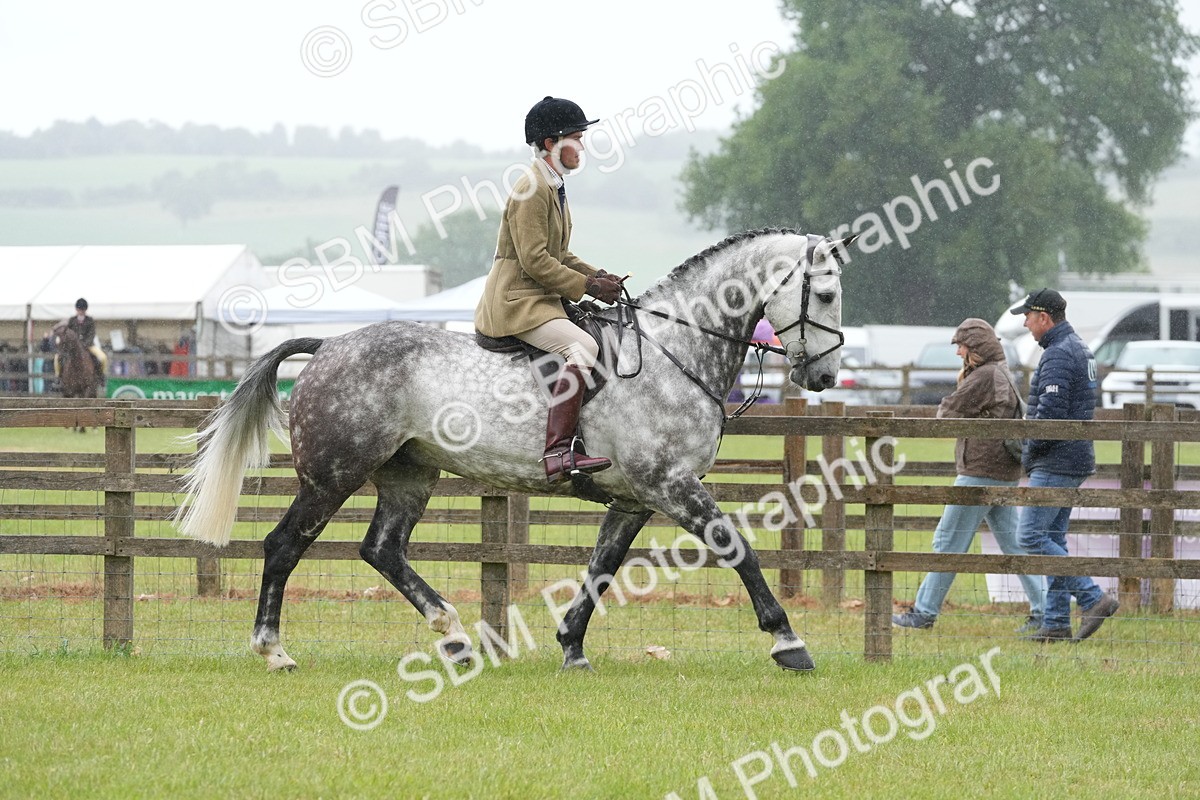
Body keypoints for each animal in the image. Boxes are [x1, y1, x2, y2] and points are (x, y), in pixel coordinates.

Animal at [174, 228, 853, 673]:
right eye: (823, 295)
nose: (822, 377)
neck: (672, 351)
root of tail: (329, 346)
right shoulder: (671, 484)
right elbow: (737, 549)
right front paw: (788, 643)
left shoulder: (635, 499)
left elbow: (601, 569)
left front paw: (571, 646)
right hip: (333, 475)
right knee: (284, 546)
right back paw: (274, 651)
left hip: (407, 474)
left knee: (383, 550)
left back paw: (453, 638)